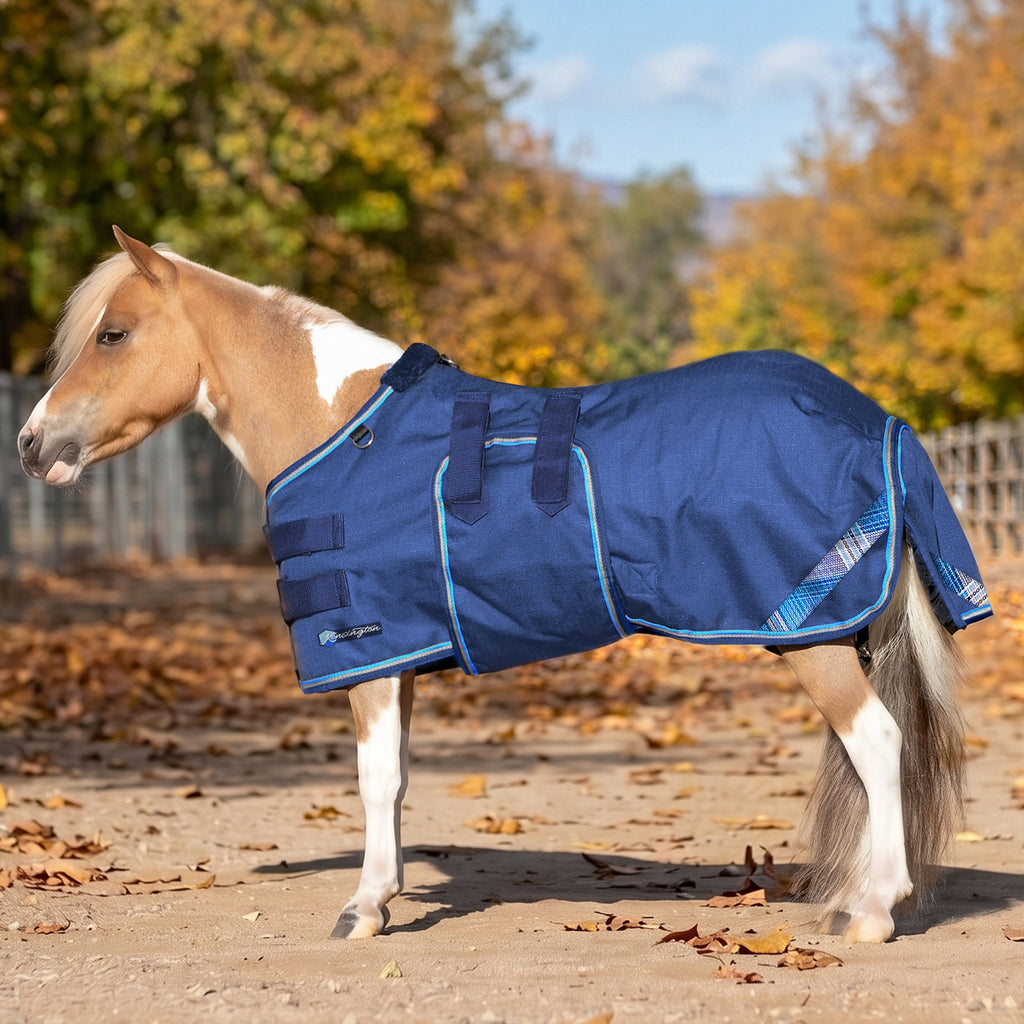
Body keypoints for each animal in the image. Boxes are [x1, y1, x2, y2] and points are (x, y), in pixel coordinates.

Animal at [18, 227, 990, 944]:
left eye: (113, 334)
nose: (32, 443)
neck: (343, 426)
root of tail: (875, 418)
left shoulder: (368, 654)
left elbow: (373, 779)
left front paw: (362, 909)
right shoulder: (403, 656)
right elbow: (398, 780)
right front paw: (385, 894)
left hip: (808, 636)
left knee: (878, 742)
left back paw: (872, 914)